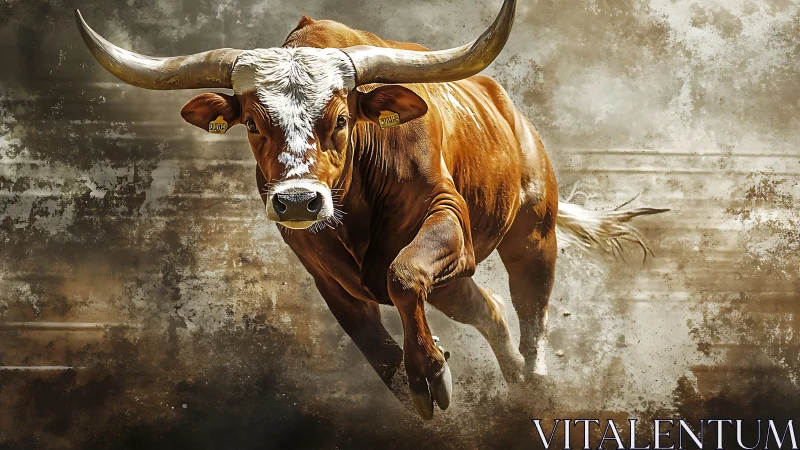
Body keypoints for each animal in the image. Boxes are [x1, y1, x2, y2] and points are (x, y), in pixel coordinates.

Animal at [75, 0, 666, 419]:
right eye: (253, 124)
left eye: (341, 118)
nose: (298, 200)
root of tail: (510, 110)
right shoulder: (326, 276)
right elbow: (377, 349)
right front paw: (419, 383)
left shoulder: (447, 219)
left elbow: (403, 275)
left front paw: (430, 370)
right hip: (455, 283)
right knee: (491, 312)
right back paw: (515, 388)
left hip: (532, 236)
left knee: (530, 315)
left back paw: (536, 389)